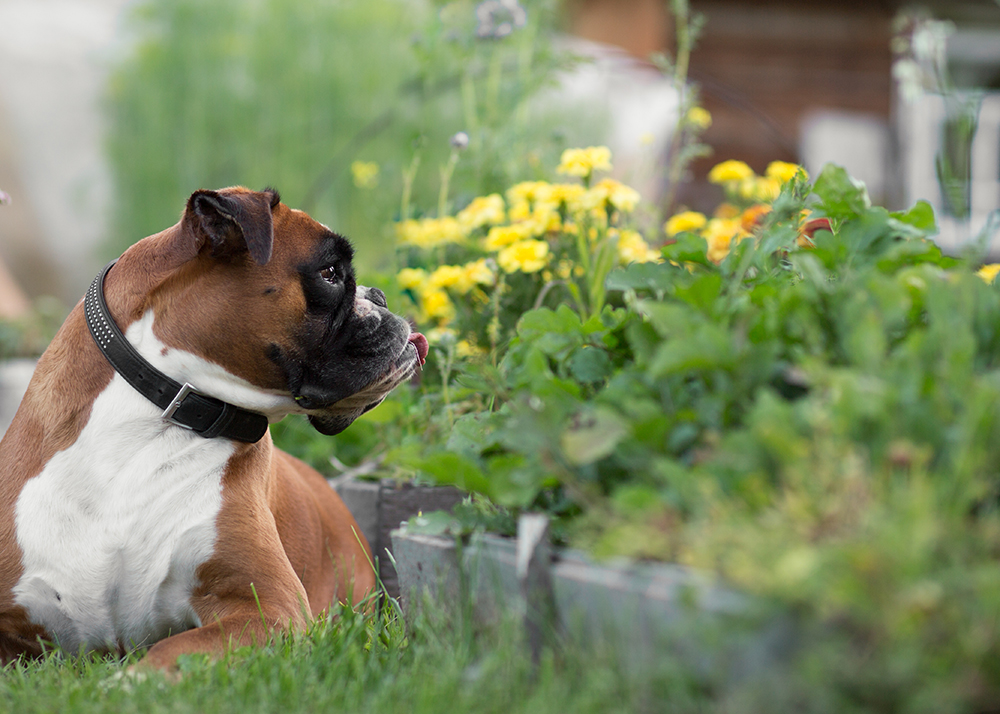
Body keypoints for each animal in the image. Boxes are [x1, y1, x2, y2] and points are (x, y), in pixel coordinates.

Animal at [0, 188, 426, 668]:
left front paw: (127, 679)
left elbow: (170, 650)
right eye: (331, 273)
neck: (151, 427)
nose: (381, 294)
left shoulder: (270, 608)